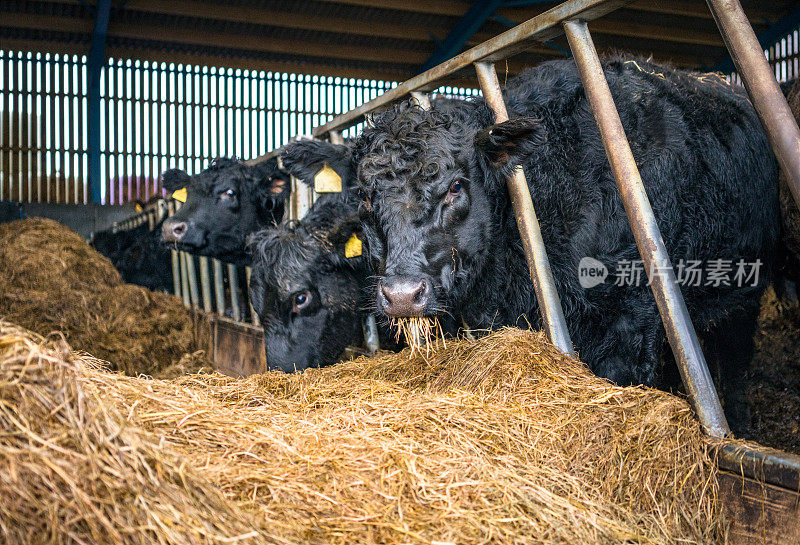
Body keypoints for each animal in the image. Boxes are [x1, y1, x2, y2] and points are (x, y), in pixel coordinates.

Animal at [344, 58, 780, 434]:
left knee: (735, 364)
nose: (402, 295)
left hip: (743, 293)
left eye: (455, 186)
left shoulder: (632, 318)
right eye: (364, 195)